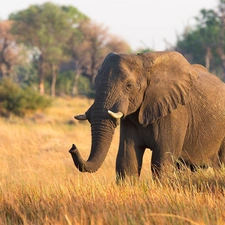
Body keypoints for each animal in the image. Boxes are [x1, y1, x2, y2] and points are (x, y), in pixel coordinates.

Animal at [68, 51, 225, 181]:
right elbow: (127, 159)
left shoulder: (175, 112)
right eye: (95, 82)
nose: (72, 147)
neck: (143, 61)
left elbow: (162, 161)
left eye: (129, 86)